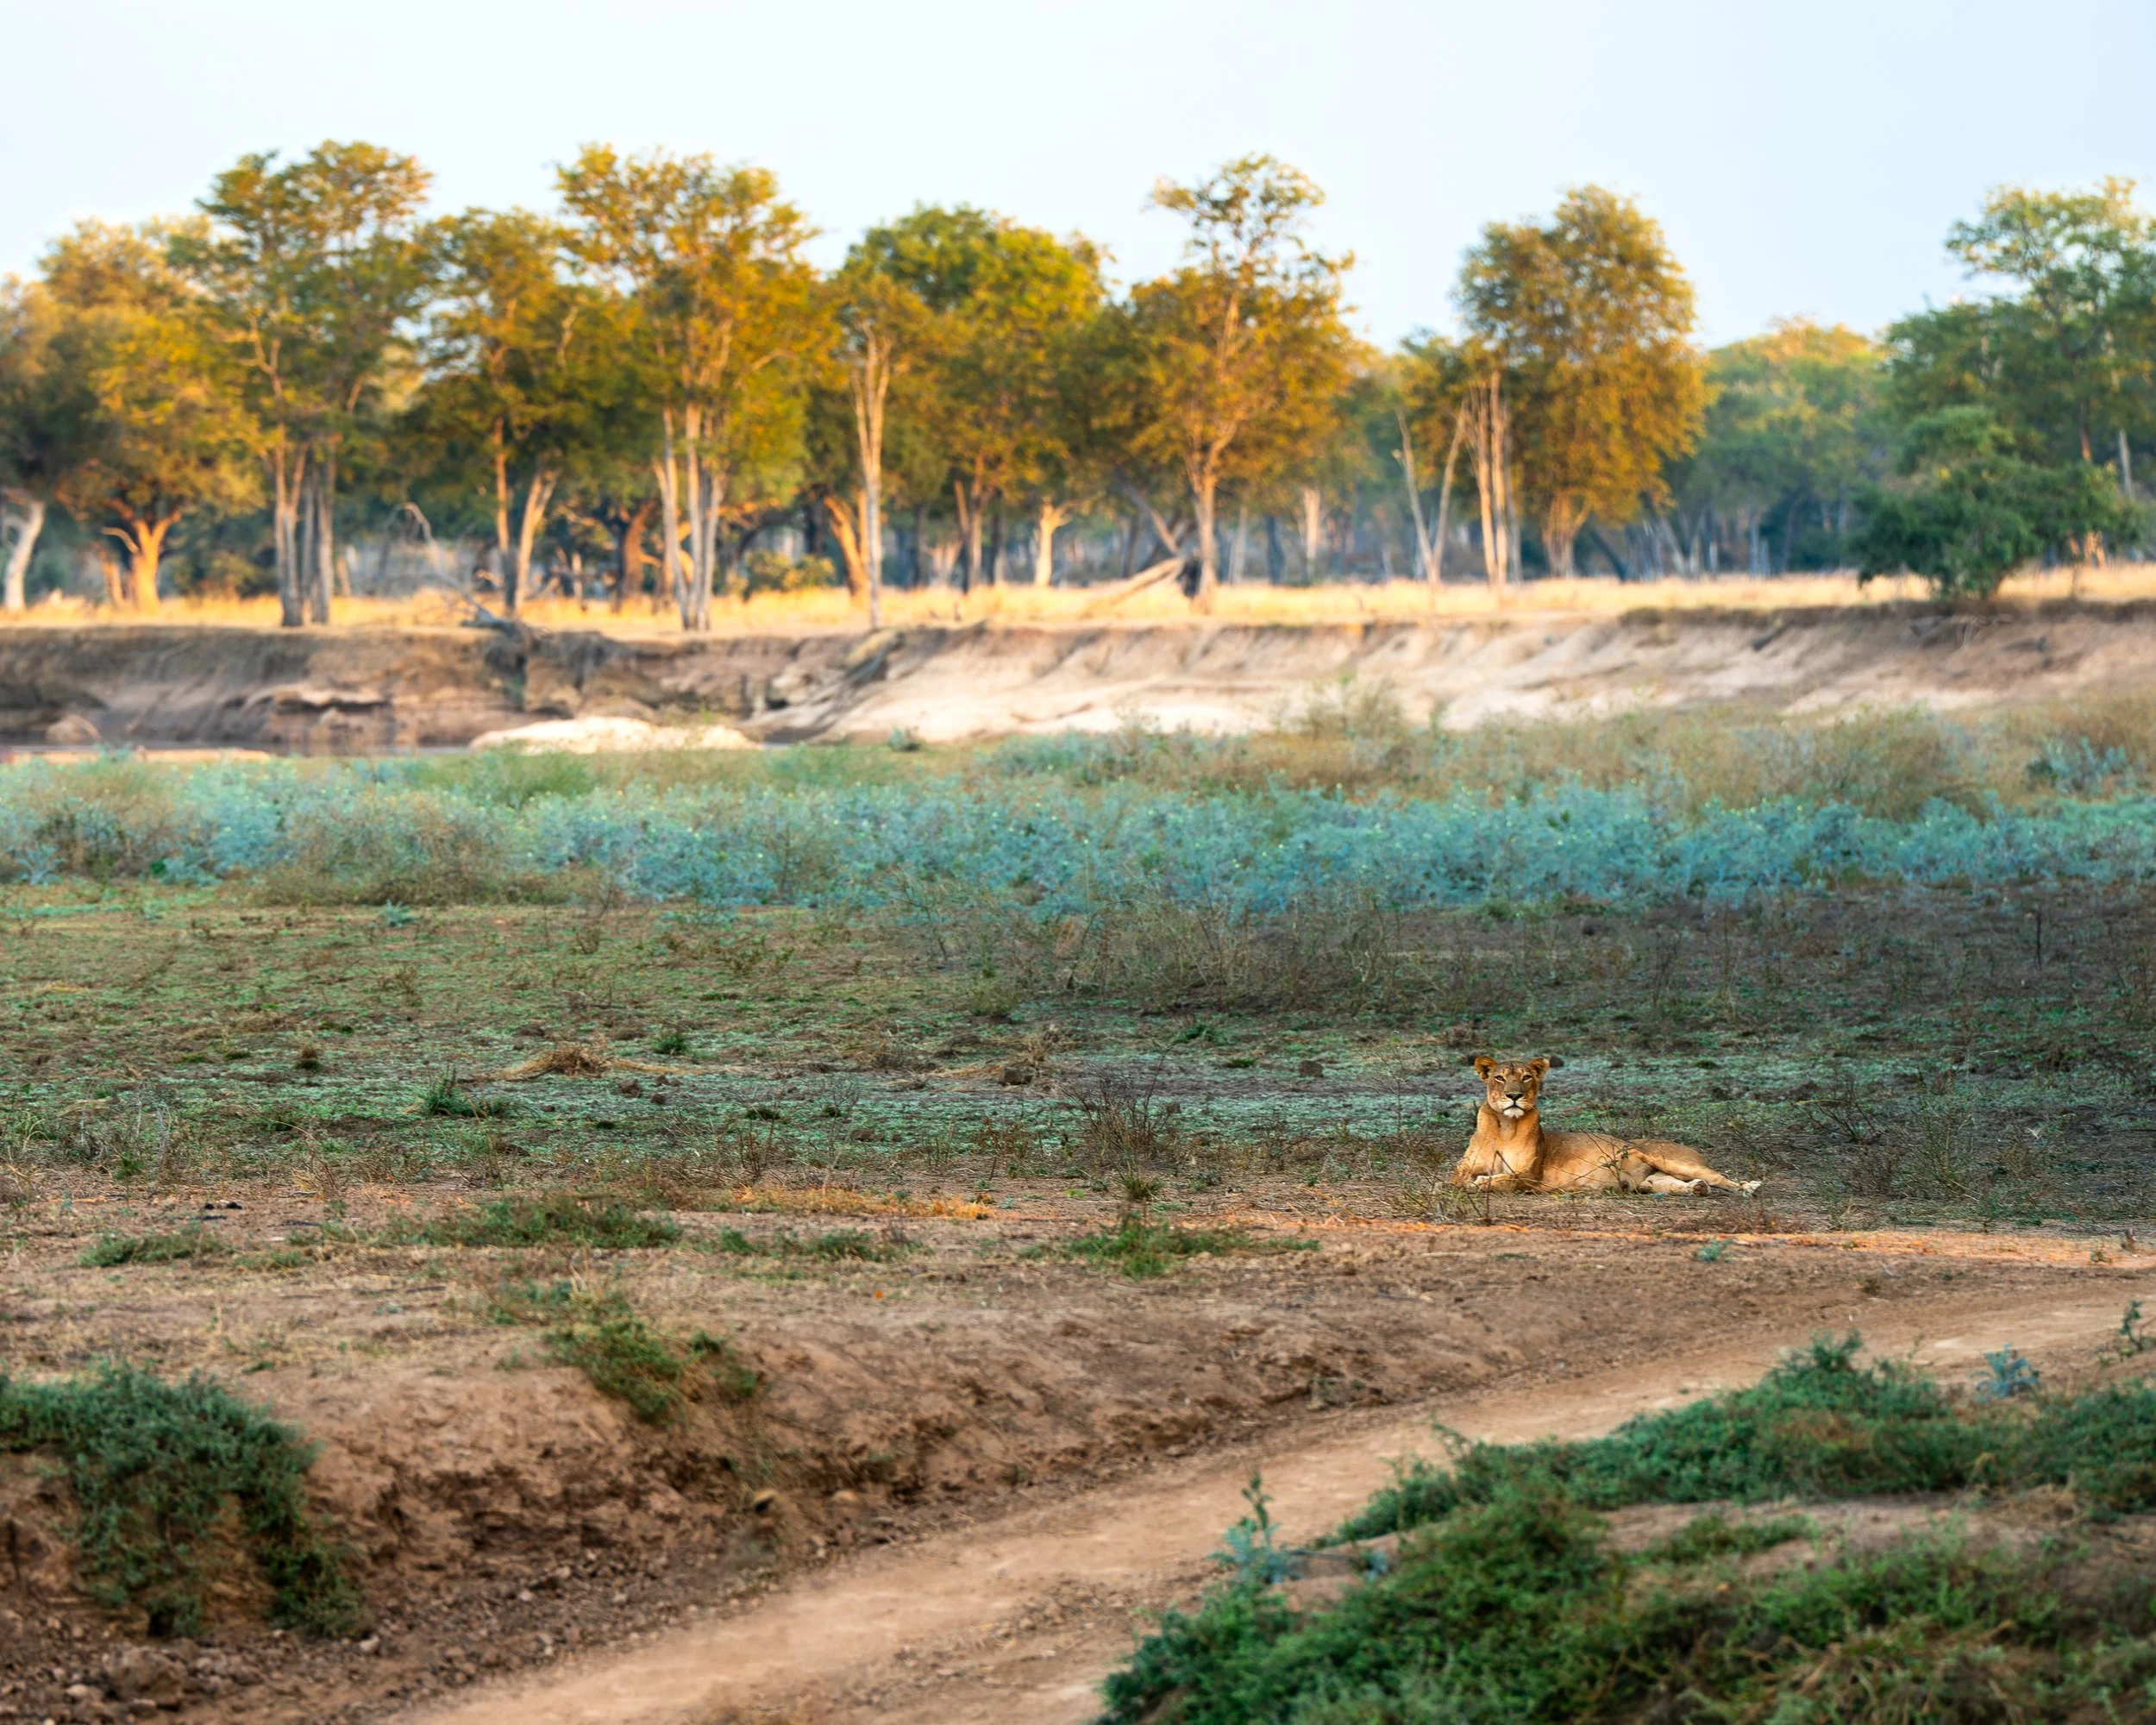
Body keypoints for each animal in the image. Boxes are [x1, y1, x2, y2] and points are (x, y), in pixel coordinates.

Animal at [1451, 1056, 1760, 1197]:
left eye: (1527, 1077)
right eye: (1500, 1078)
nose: (1514, 1096)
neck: (1506, 1126)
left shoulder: (1531, 1175)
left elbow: (1506, 1179)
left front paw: (1482, 1183)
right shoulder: (1462, 1169)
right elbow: (1457, 1179)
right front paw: (1473, 1182)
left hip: (1670, 1160)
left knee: (1719, 1177)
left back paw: (1747, 1187)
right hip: (1649, 1182)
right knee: (1673, 1184)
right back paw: (1697, 1189)